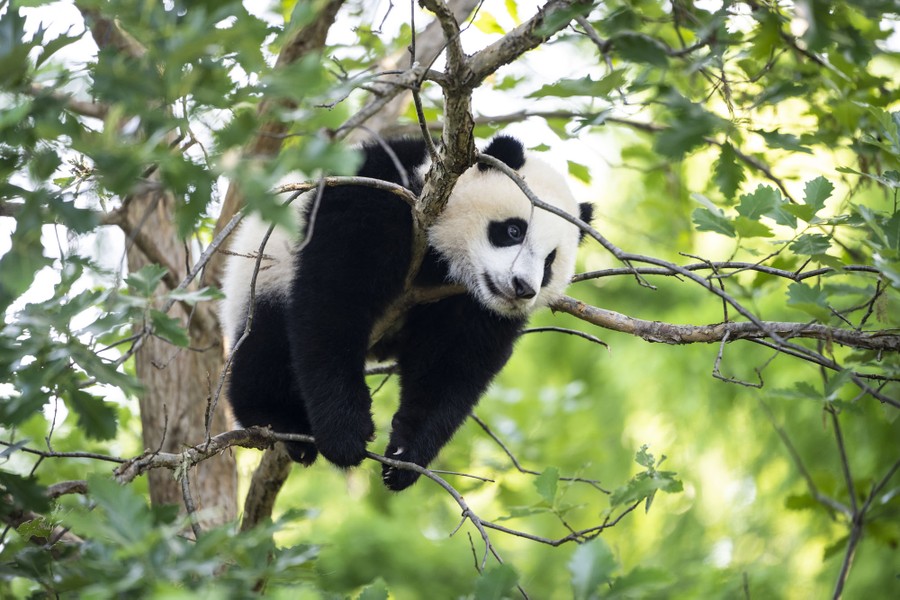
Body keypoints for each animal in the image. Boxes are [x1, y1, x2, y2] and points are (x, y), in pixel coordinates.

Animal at [220, 135, 592, 491]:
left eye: (550, 261)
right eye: (514, 230)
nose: (522, 288)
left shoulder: (471, 306)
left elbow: (453, 362)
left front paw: (404, 456)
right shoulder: (375, 201)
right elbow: (334, 300)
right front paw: (346, 434)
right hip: (263, 277)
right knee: (265, 346)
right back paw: (279, 421)